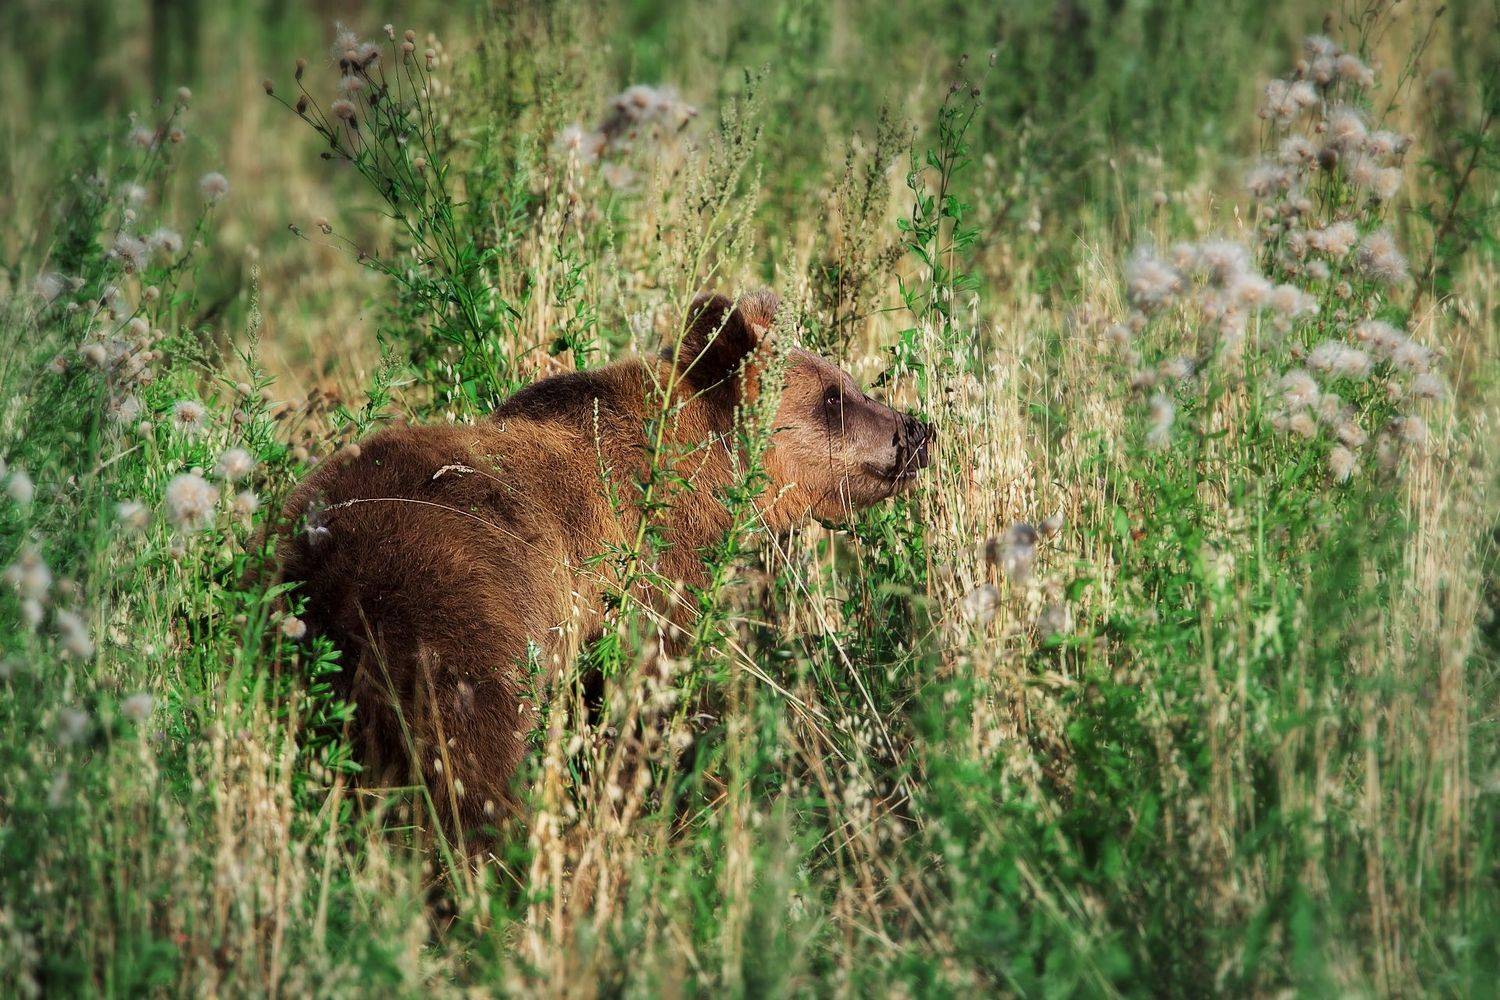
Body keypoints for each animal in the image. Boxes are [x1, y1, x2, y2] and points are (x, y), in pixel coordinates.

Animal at [275, 289, 932, 839]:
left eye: (847, 383)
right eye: (833, 398)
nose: (915, 430)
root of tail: (323, 565)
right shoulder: (640, 581)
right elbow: (647, 694)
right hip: (451, 605)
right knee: (472, 755)